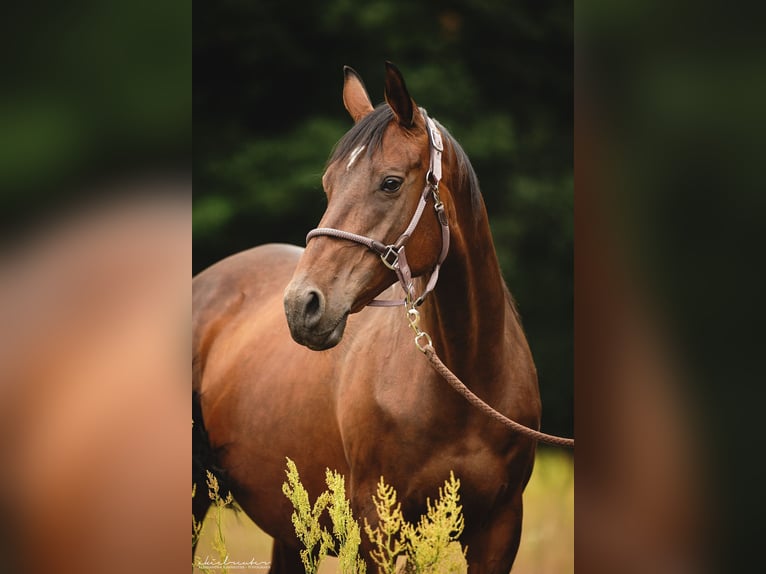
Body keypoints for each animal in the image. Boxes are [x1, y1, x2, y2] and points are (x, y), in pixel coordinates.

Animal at [195, 64, 544, 574]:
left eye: (391, 183)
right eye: (328, 184)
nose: (301, 305)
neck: (468, 377)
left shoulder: (500, 529)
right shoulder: (377, 526)